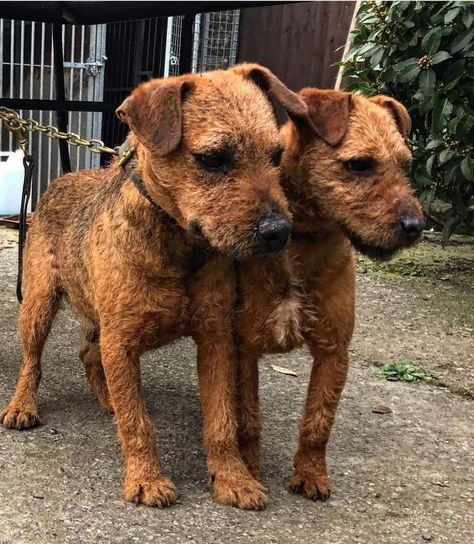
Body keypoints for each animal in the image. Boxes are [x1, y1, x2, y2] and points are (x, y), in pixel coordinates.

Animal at [0, 63, 308, 510]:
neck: (176, 246)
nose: (279, 232)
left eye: (276, 156)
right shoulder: (121, 341)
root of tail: (63, 178)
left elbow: (221, 420)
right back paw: (23, 405)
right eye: (212, 159)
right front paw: (146, 479)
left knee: (89, 355)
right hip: (38, 304)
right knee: (33, 362)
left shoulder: (215, 339)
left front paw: (233, 478)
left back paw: (107, 398)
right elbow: (138, 422)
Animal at [235, 88, 424, 502]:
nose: (415, 226)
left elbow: (318, 423)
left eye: (406, 165)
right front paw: (249, 469)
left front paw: (311, 474)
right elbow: (248, 419)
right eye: (359, 164)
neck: (303, 238)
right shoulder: (243, 346)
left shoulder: (334, 351)